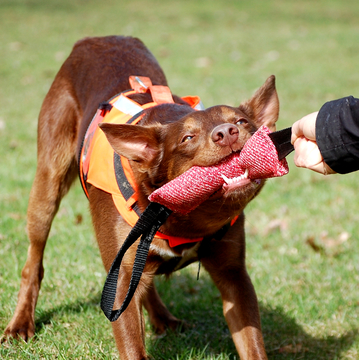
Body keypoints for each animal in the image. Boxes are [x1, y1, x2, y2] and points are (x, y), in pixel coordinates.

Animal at [4, 34, 282, 360]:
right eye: (188, 138)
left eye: (241, 122)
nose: (226, 133)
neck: (181, 216)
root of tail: (94, 39)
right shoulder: (119, 279)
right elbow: (132, 344)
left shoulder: (234, 275)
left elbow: (252, 344)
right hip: (47, 186)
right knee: (33, 261)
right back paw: (20, 323)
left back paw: (162, 317)